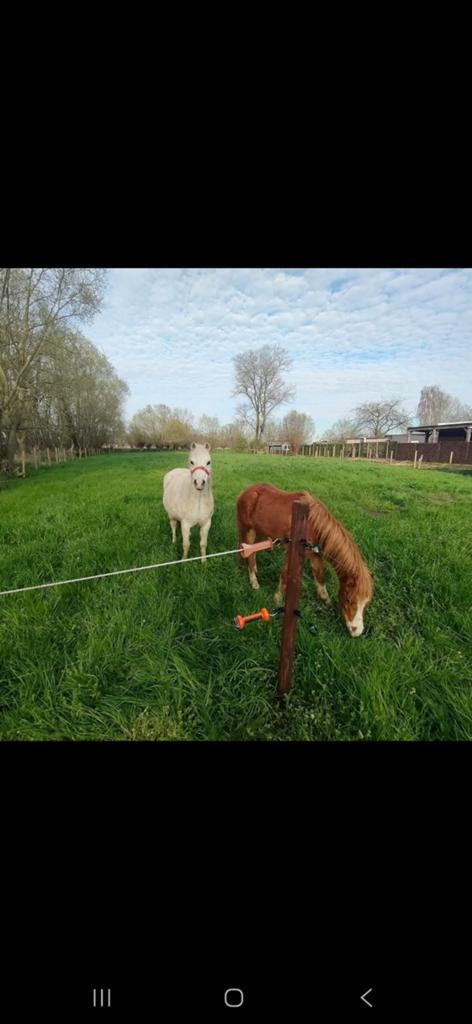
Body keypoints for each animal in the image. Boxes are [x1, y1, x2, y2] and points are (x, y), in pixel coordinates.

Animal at [236, 482, 373, 637]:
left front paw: (327, 603)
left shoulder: (315, 556)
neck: (312, 524)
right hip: (249, 530)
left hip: (260, 532)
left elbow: (320, 579)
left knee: (251, 551)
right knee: (248, 554)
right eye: (349, 599)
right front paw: (277, 601)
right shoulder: (291, 551)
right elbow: (285, 576)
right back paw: (254, 582)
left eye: (367, 603)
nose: (356, 632)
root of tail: (246, 491)